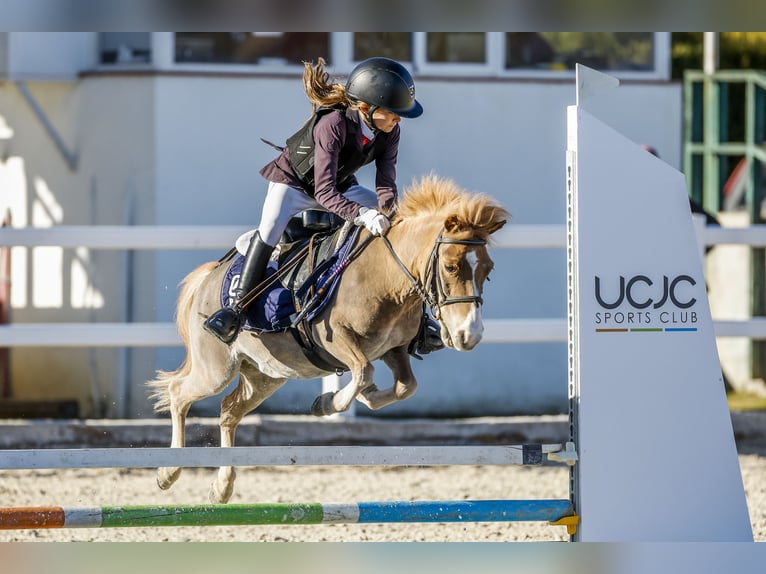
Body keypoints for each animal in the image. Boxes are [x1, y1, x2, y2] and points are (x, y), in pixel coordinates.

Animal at [148, 176, 512, 504]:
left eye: (489, 271)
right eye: (451, 267)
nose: (469, 335)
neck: (385, 275)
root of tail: (208, 277)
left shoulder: (394, 348)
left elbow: (406, 386)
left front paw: (364, 397)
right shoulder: (335, 339)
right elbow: (363, 371)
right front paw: (329, 403)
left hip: (266, 374)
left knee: (228, 411)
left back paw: (222, 488)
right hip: (217, 368)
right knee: (179, 393)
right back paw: (169, 472)